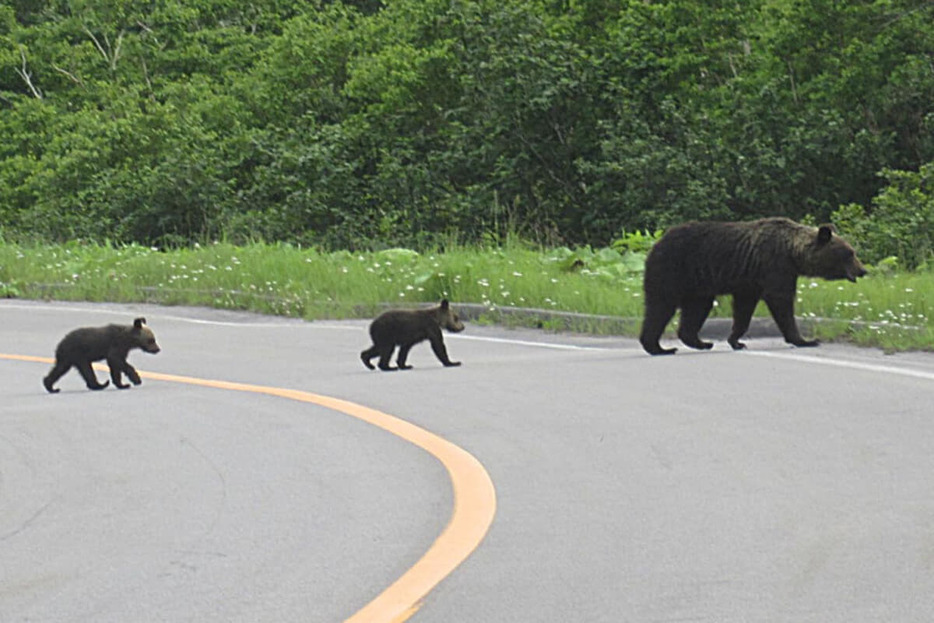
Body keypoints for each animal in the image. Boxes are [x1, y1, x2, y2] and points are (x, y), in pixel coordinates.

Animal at [640, 218, 868, 356]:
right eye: (850, 253)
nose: (863, 270)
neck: (793, 254)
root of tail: (656, 243)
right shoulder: (775, 266)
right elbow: (781, 300)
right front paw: (805, 339)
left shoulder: (749, 281)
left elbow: (744, 309)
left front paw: (736, 341)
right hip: (672, 270)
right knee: (660, 306)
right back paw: (659, 347)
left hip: (698, 285)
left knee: (696, 309)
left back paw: (702, 342)